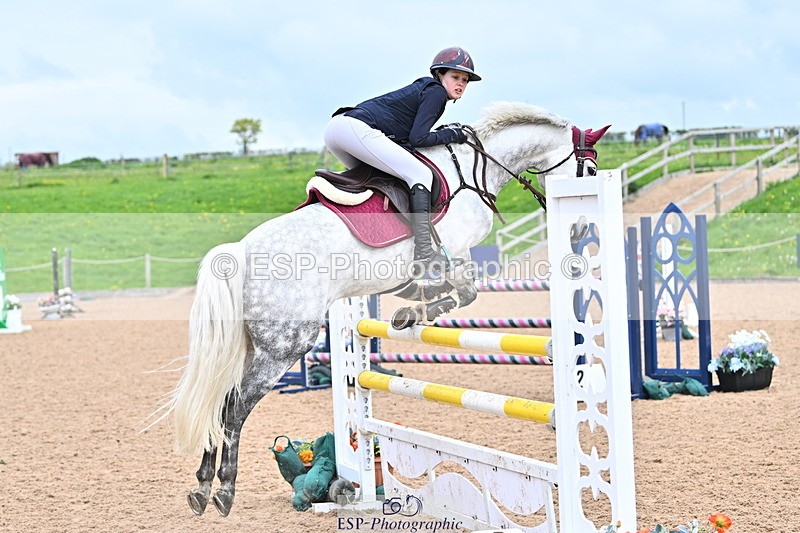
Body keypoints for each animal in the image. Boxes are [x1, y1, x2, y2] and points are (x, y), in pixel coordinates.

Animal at [164, 101, 610, 517]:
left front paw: (413, 307)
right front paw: (417, 310)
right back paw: (223, 491)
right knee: (234, 408)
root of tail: (239, 251)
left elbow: (446, 289)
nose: (578, 228)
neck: (473, 168)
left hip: (254, 346)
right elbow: (465, 293)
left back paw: (201, 488)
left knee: (219, 402)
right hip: (284, 346)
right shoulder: (458, 250)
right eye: (589, 170)